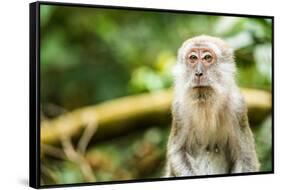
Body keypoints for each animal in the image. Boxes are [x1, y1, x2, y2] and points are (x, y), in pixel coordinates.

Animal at [165, 35, 260, 176]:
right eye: (193, 58)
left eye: (207, 58)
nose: (198, 73)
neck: (206, 104)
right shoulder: (179, 109)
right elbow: (178, 152)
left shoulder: (238, 107)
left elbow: (246, 157)